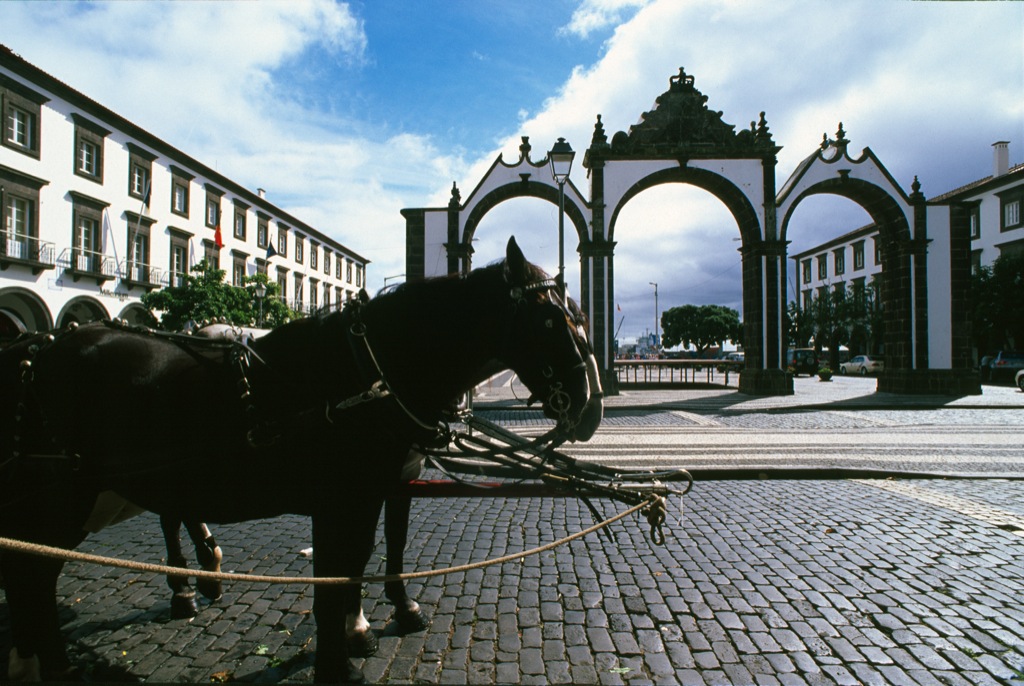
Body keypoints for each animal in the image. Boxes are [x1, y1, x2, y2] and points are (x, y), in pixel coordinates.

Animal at [0, 239, 602, 683]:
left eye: (578, 316)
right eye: (552, 321)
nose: (592, 407)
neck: (371, 371)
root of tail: (37, 349)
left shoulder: (388, 483)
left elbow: (373, 555)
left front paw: (372, 624)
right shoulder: (343, 498)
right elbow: (337, 575)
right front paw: (340, 659)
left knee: (41, 573)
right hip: (62, 496)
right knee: (35, 574)